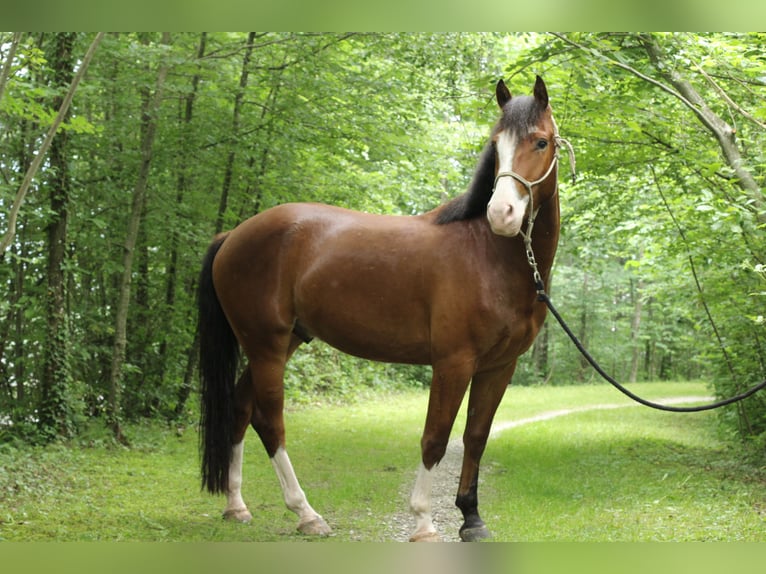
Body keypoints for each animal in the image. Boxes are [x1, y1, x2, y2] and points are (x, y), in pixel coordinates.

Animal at [198, 74, 564, 544]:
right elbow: (435, 438)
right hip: (266, 346)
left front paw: (471, 518)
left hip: (282, 342)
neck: (489, 254)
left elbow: (476, 436)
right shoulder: (453, 362)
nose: (502, 213)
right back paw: (306, 514)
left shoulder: (499, 367)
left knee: (241, 409)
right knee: (269, 421)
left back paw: (237, 506)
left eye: (541, 142)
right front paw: (424, 522)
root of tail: (233, 235)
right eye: (495, 144)